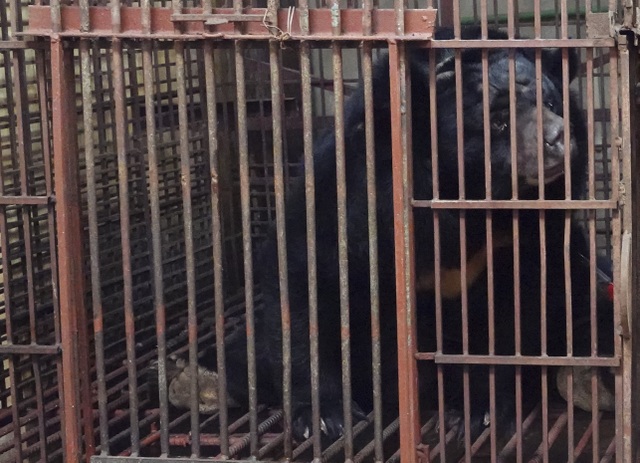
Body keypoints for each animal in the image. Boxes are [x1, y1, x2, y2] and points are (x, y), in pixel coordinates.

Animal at [148, 26, 616, 446]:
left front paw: (477, 409)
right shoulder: (353, 196)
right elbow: (306, 283)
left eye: (551, 102)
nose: (558, 138)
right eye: (498, 120)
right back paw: (193, 379)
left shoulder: (527, 235)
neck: (467, 193)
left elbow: (516, 310)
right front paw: (323, 418)